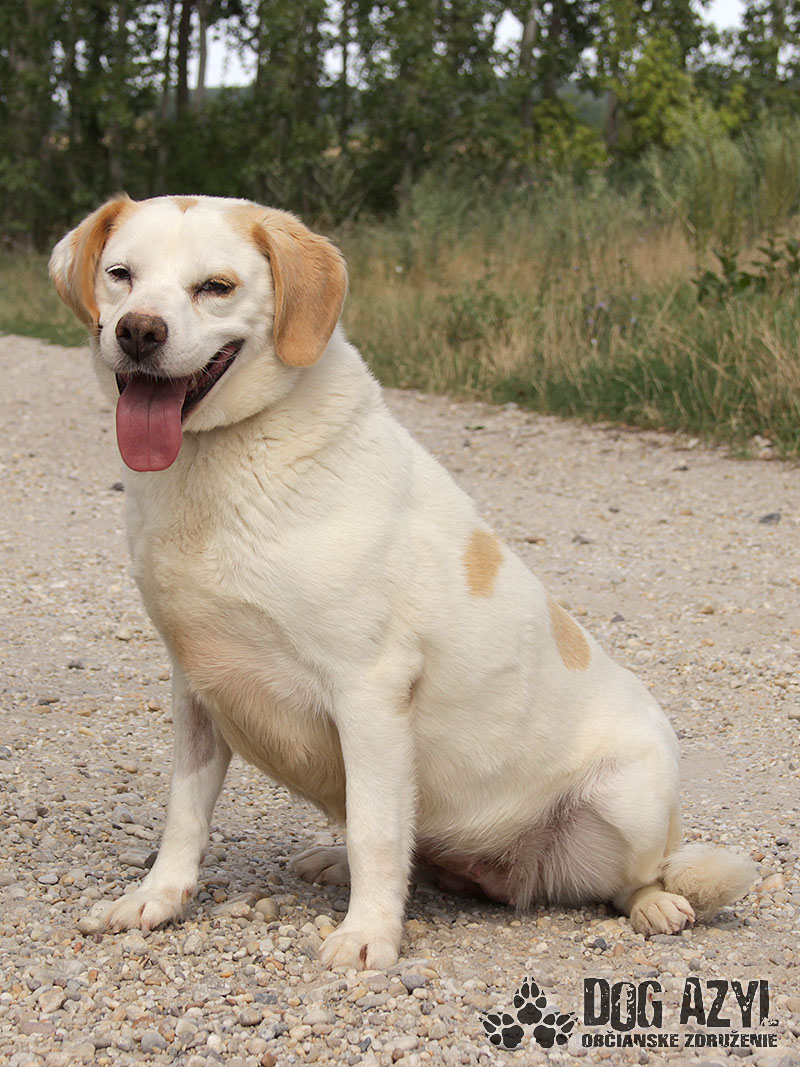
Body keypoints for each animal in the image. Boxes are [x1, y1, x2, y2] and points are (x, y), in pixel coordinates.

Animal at [49, 195, 755, 969]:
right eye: (121, 275)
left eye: (216, 286)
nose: (139, 331)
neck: (220, 462)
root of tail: (509, 874)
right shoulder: (196, 687)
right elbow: (185, 815)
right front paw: (158, 899)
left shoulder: (370, 691)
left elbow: (377, 831)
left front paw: (368, 935)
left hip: (631, 802)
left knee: (639, 876)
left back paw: (657, 904)